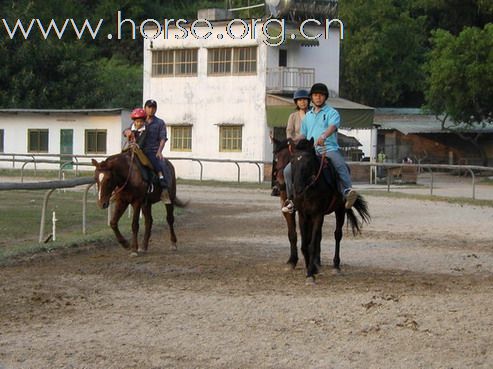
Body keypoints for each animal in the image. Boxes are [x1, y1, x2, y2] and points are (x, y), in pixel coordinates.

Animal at [292, 138, 368, 282]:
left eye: (308, 162)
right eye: (293, 162)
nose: (297, 189)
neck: (310, 188)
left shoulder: (318, 214)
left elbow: (311, 245)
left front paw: (310, 274)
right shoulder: (303, 215)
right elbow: (305, 244)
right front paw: (311, 269)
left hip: (340, 211)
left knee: (337, 235)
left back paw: (336, 266)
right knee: (317, 238)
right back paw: (317, 265)